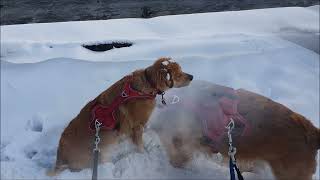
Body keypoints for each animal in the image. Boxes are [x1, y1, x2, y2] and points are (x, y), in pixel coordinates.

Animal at [47, 57, 192, 174]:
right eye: (178, 74)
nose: (192, 76)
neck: (148, 83)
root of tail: (60, 158)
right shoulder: (137, 126)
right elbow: (139, 146)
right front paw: (144, 154)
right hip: (98, 154)